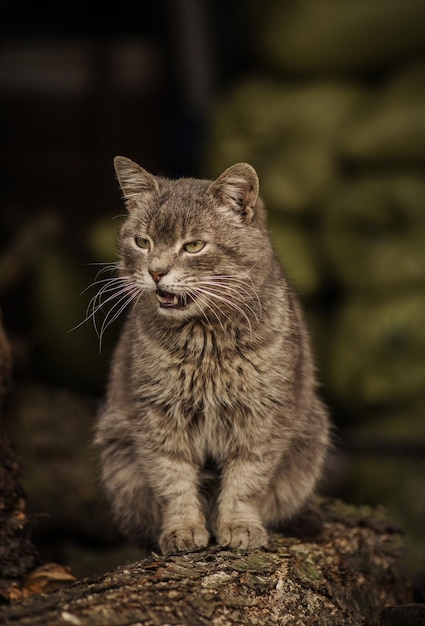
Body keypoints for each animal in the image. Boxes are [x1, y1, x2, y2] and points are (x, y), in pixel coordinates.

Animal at [93, 158, 332, 552]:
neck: (205, 343)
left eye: (193, 246)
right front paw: (183, 529)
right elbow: (172, 479)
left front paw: (239, 525)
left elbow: (247, 479)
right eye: (142, 242)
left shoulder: (263, 416)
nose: (155, 271)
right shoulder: (157, 414)